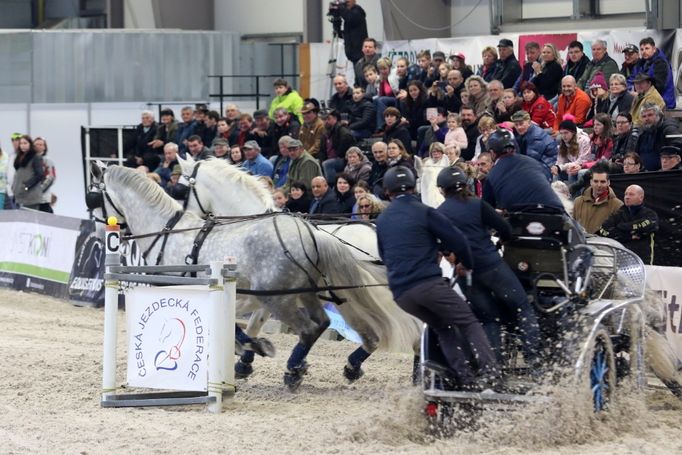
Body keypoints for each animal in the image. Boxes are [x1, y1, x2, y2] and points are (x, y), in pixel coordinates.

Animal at [91, 164, 418, 388]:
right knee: (331, 325)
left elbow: (234, 326)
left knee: (317, 328)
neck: (168, 232)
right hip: (310, 295)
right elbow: (240, 325)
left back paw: (298, 370)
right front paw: (243, 359)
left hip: (288, 299)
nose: (97, 229)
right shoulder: (249, 297)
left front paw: (248, 352)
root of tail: (310, 235)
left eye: (93, 195)